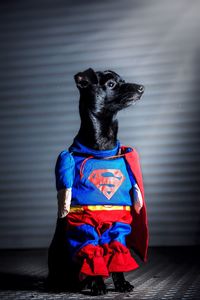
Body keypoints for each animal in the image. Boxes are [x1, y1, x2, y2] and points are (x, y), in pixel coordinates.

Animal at [48, 68, 148, 296]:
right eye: (111, 84)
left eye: (122, 81)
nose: (141, 88)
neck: (103, 143)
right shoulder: (82, 220)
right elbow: (91, 250)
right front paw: (98, 284)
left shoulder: (118, 217)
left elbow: (116, 249)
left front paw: (120, 283)